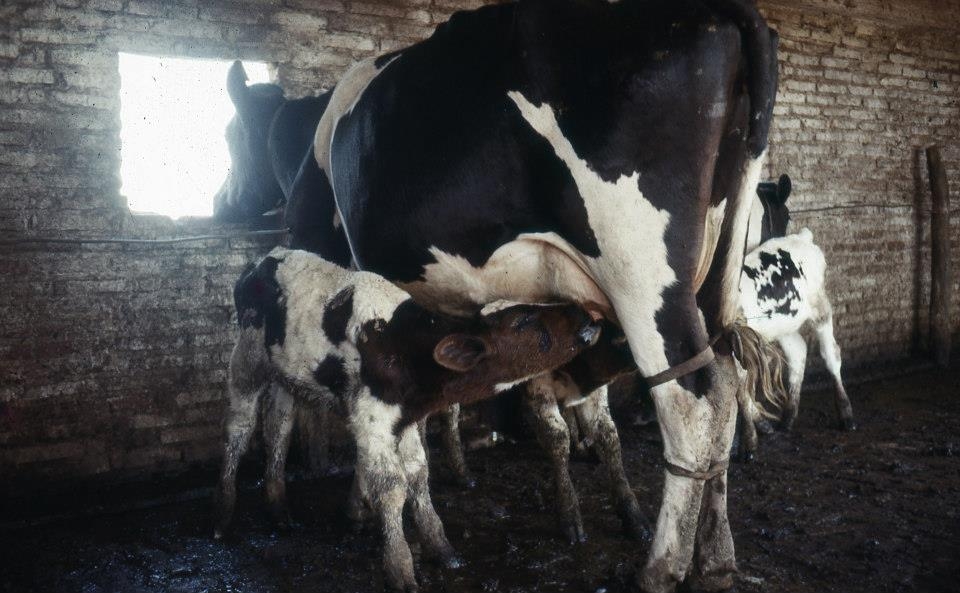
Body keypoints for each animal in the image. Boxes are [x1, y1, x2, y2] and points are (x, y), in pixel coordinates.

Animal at [219, 245, 608, 588]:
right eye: (523, 320)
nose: (587, 317)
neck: (402, 341)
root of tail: (267, 256)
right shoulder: (372, 418)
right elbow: (392, 486)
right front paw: (400, 566)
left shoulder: (404, 419)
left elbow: (419, 475)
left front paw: (441, 547)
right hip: (247, 361)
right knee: (239, 428)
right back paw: (223, 514)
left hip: (285, 378)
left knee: (278, 430)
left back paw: (278, 508)